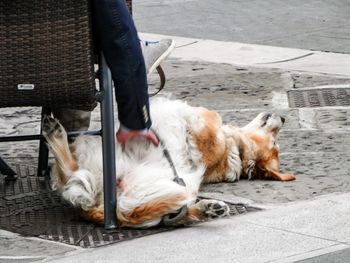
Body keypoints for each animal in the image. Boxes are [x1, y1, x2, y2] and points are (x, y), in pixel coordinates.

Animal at [43, 98, 296, 229]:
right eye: (275, 140)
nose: (284, 118)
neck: (235, 151)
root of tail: (97, 207)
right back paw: (210, 209)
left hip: (100, 161)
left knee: (69, 171)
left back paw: (55, 133)